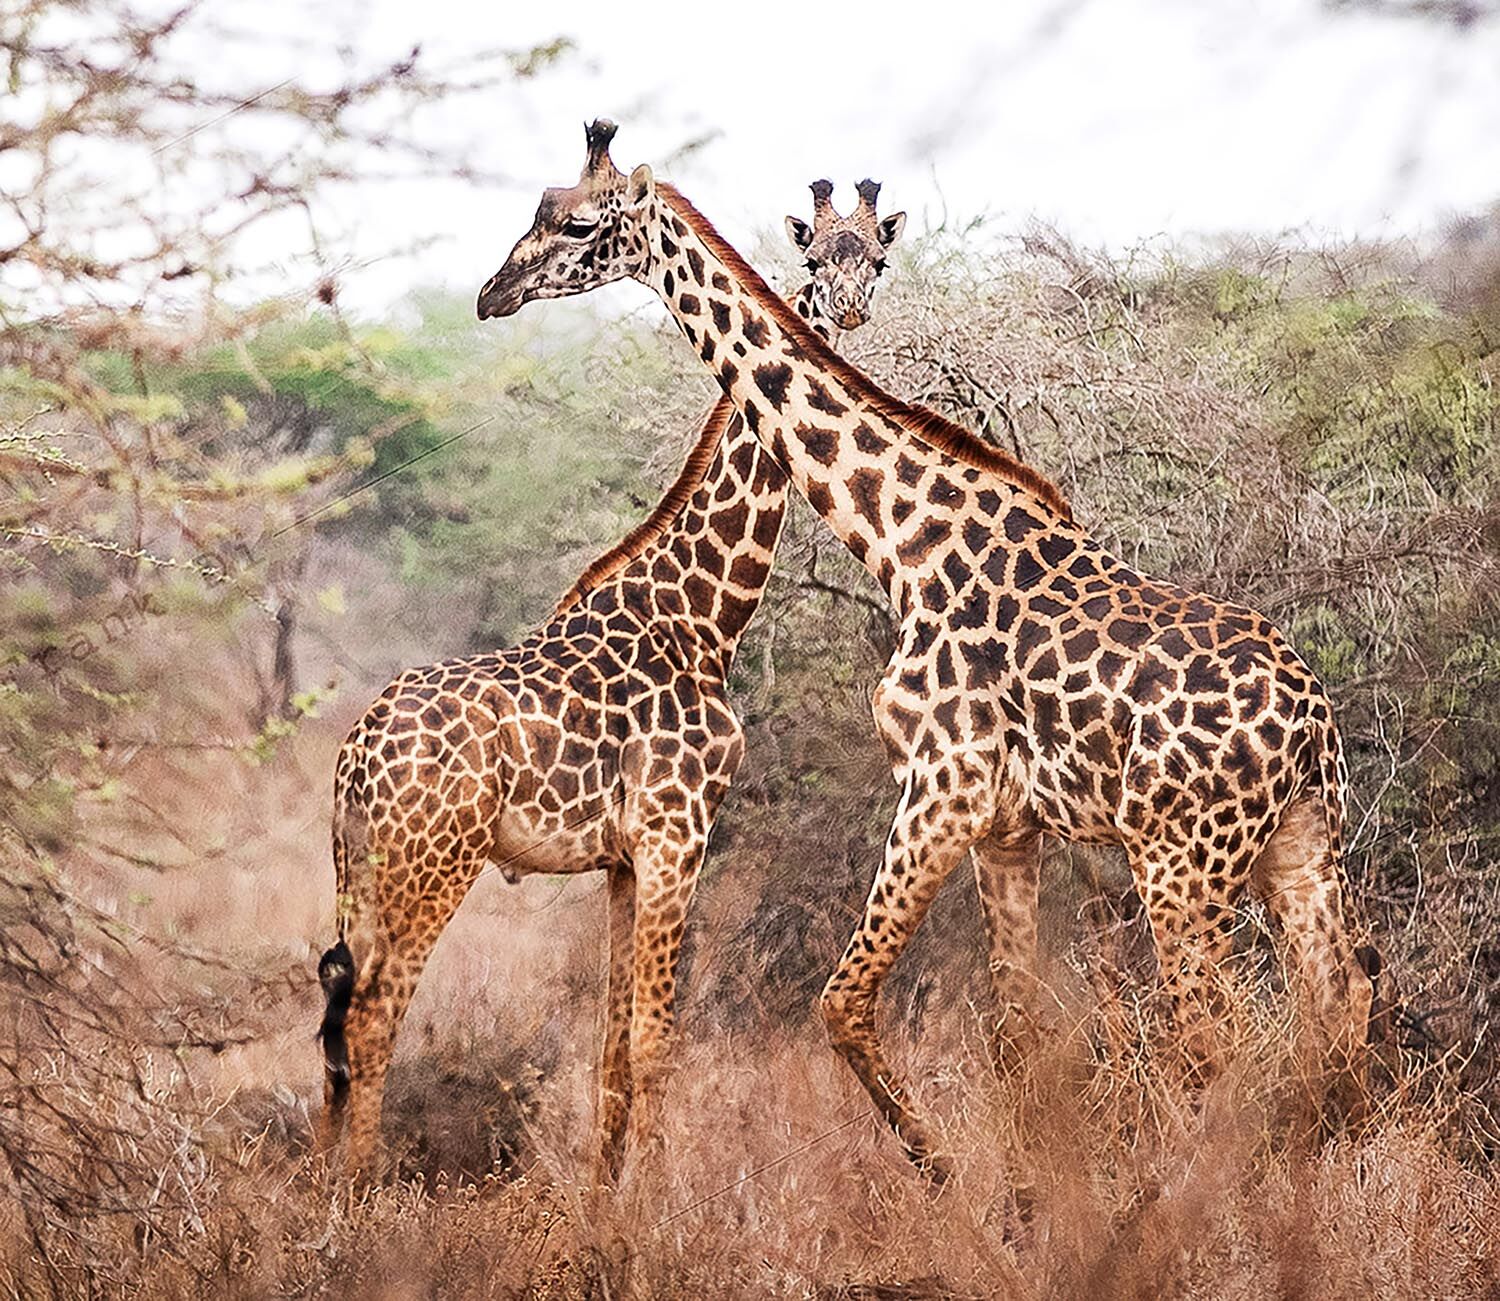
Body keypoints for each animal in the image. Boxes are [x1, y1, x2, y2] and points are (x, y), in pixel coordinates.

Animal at [315, 168, 905, 1180]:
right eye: (813, 261)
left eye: (877, 258)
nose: (850, 310)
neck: (703, 615)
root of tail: (354, 759)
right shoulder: (677, 834)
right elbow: (658, 1040)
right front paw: (654, 1209)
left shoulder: (622, 861)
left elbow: (610, 1051)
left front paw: (604, 1208)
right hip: (432, 864)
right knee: (373, 1015)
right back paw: (357, 1199)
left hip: (360, 869)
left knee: (332, 1015)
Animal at [477, 120, 1377, 1182]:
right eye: (816, 257)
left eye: (577, 222)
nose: (493, 292)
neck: (902, 541)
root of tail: (1311, 724)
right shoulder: (1008, 823)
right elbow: (1015, 1029)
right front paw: (1029, 1200)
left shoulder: (942, 785)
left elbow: (842, 1001)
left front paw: (951, 1176)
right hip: (1299, 844)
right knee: (1340, 1006)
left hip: (1184, 859)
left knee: (1215, 1037)